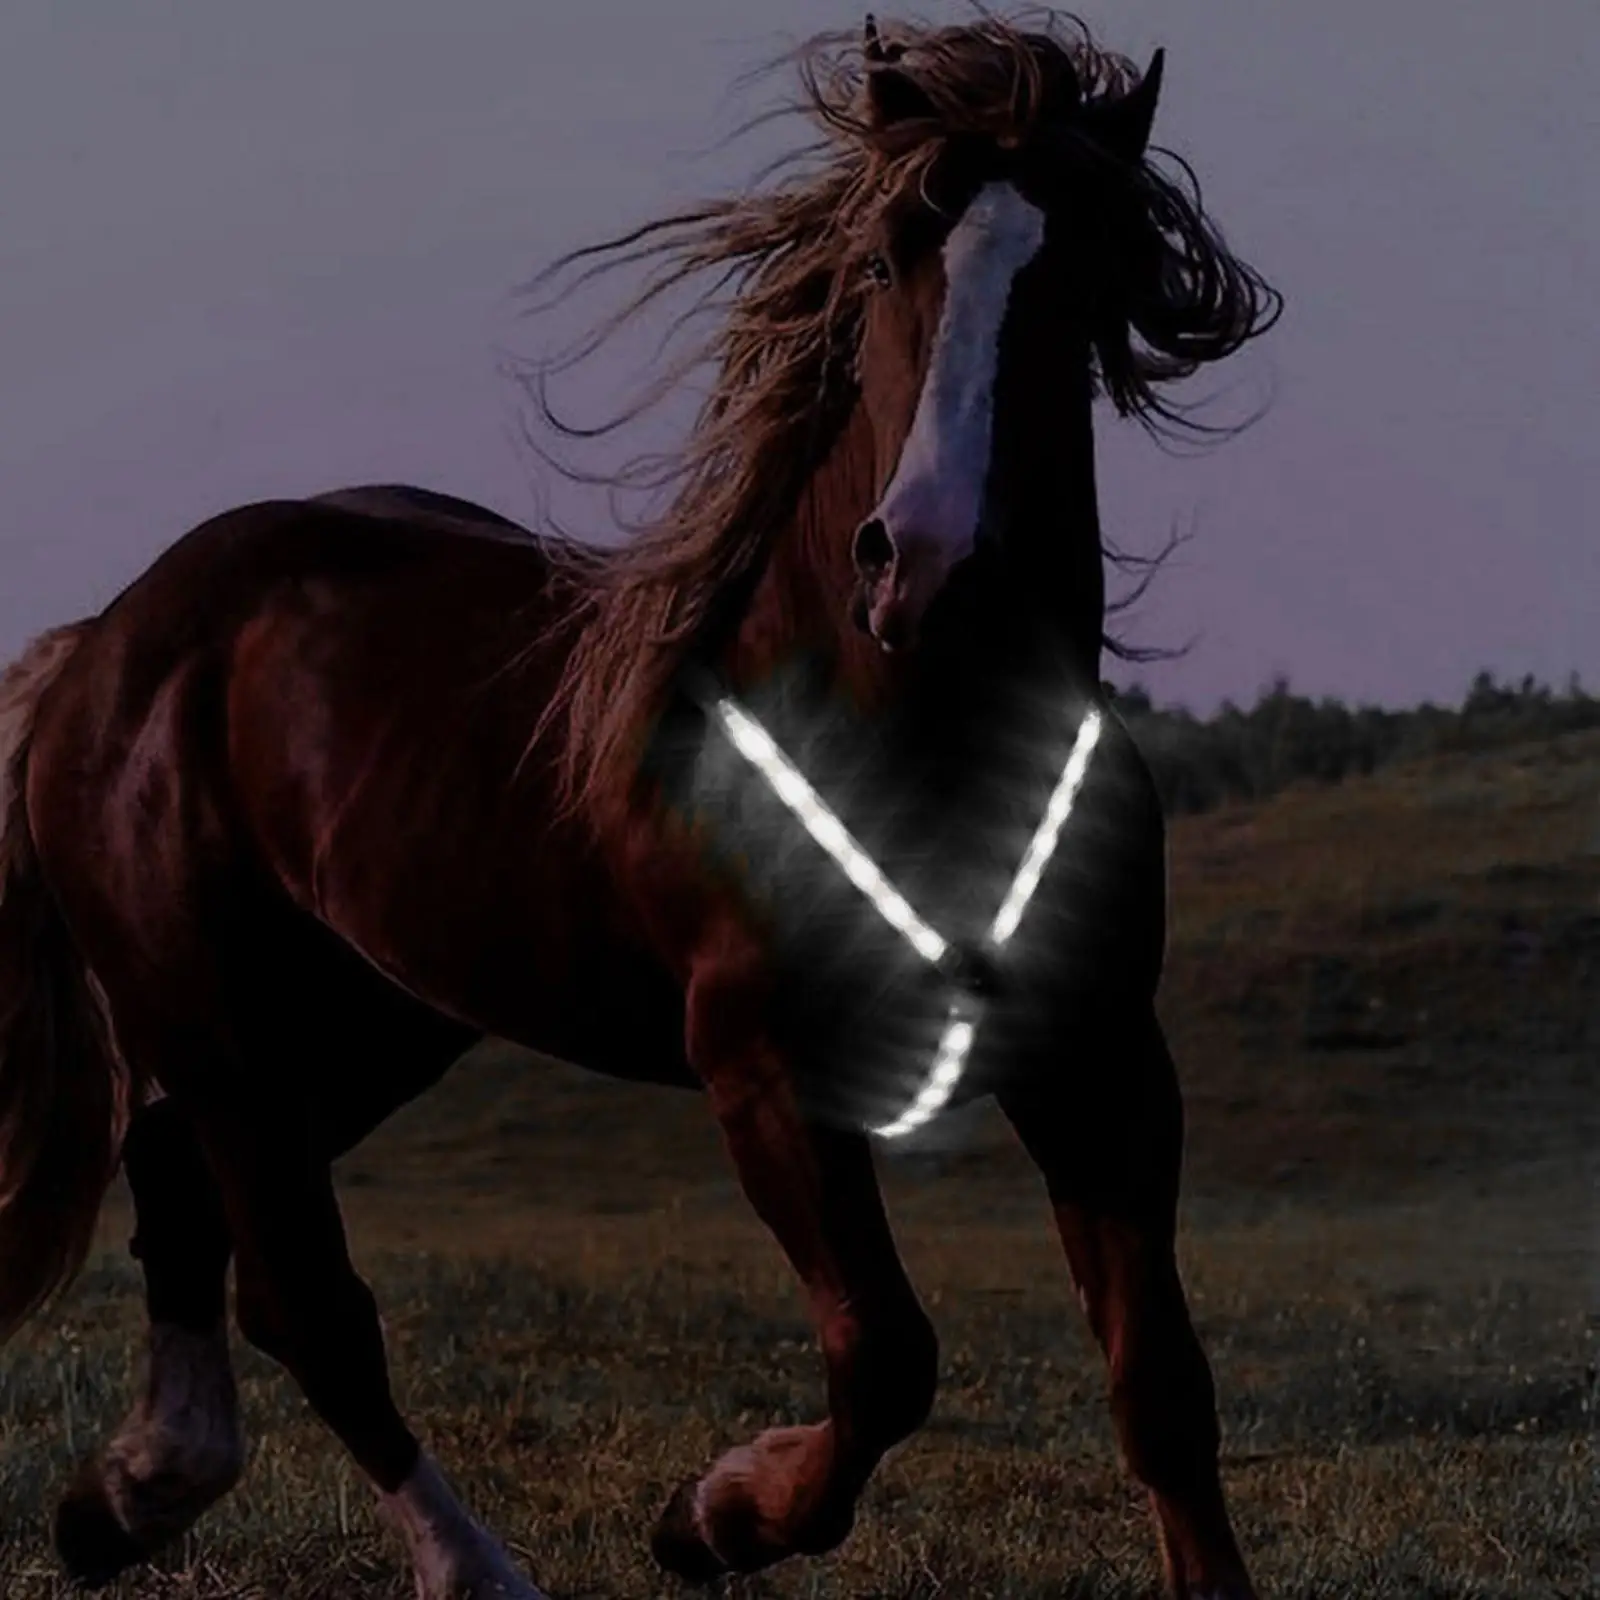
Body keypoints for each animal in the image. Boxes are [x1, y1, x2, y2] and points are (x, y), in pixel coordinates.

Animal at [0, 15, 1280, 1598]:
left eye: (1083, 270)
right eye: (882, 263)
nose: (924, 568)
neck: (912, 726)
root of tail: (106, 642)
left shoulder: (1100, 1058)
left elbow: (1158, 1384)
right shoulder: (764, 1071)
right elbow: (887, 1358)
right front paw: (709, 1515)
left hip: (371, 1017)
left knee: (180, 1184)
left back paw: (126, 1499)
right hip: (219, 1019)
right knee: (308, 1299)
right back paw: (465, 1566)